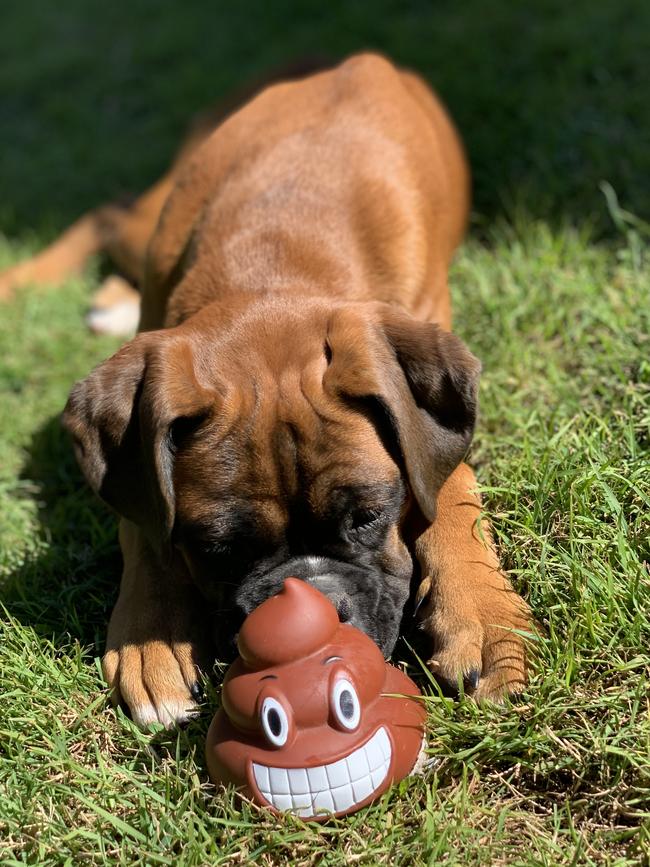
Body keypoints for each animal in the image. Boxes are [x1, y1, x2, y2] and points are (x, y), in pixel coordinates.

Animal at [1, 56, 532, 724]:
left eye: (369, 517)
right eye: (218, 547)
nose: (317, 610)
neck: (278, 255)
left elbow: (453, 487)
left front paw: (484, 616)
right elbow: (143, 524)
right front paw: (151, 636)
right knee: (108, 212)